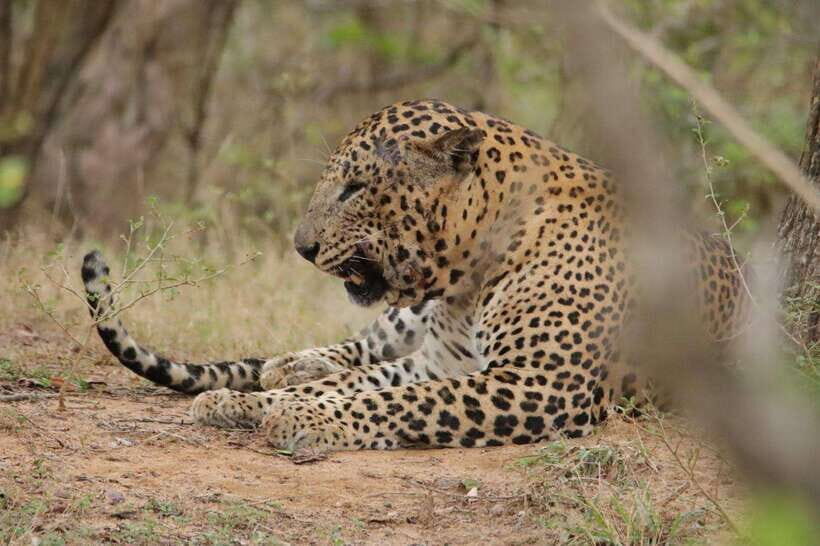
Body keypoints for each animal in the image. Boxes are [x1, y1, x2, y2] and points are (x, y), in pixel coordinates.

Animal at [81, 99, 748, 451]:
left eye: (354, 188)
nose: (301, 247)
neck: (470, 280)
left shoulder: (542, 384)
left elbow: (393, 401)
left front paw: (301, 418)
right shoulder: (444, 362)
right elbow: (363, 383)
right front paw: (247, 400)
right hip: (404, 321)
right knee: (362, 345)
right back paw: (288, 364)